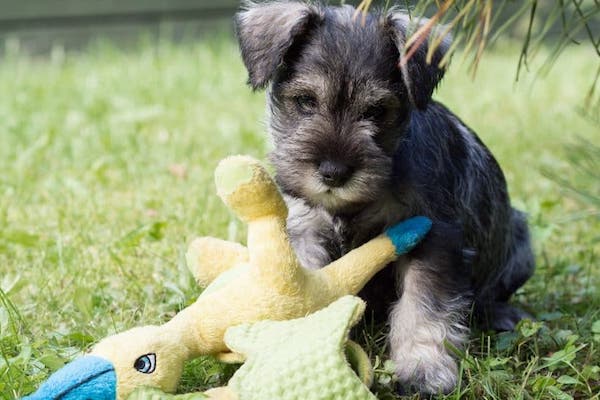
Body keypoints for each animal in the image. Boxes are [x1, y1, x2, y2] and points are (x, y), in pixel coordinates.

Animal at [233, 0, 536, 394]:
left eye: (377, 110)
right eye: (305, 101)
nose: (333, 172)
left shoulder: (431, 237)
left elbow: (423, 306)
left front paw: (423, 369)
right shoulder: (305, 232)